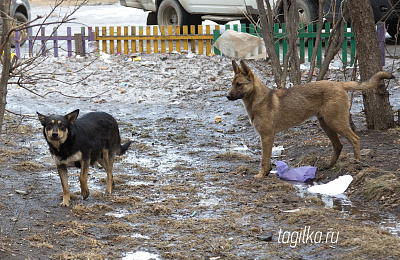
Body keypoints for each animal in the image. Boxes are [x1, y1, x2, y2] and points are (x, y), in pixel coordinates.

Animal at [227, 60, 396, 178]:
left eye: (239, 84)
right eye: (232, 84)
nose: (227, 96)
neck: (259, 99)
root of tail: (340, 84)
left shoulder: (267, 136)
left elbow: (264, 160)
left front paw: (261, 175)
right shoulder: (267, 137)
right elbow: (267, 160)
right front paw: (267, 172)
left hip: (336, 122)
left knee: (355, 139)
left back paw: (357, 162)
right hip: (326, 124)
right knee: (338, 145)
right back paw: (329, 165)